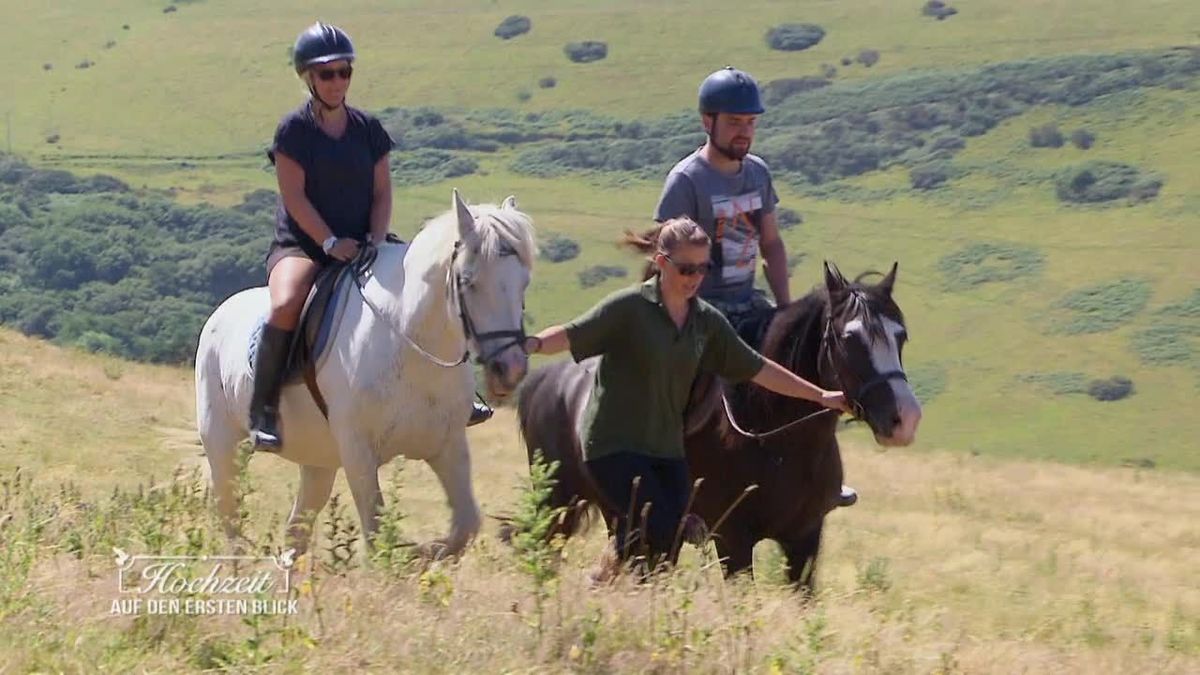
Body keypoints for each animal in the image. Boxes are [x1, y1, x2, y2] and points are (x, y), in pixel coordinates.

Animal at [195, 190, 535, 557]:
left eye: (524, 283)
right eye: (468, 282)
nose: (511, 370)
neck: (410, 343)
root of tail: (220, 312)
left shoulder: (448, 446)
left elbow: (465, 526)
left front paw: (423, 553)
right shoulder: (359, 454)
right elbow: (376, 535)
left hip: (319, 460)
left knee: (295, 531)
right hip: (225, 446)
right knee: (230, 517)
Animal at [513, 260, 916, 586]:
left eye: (901, 335)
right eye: (850, 338)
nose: (905, 420)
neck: (777, 439)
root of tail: (544, 380)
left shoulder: (805, 538)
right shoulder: (733, 540)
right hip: (557, 504)